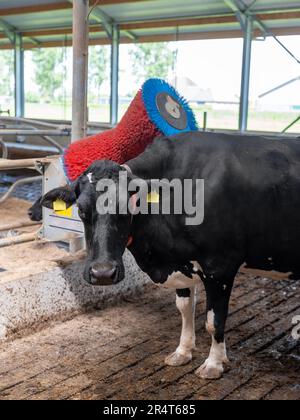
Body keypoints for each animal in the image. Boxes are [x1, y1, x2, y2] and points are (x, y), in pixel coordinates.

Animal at [41, 133, 300, 378]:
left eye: (127, 207)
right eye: (82, 210)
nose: (102, 273)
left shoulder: (220, 267)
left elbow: (213, 321)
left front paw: (214, 364)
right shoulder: (180, 261)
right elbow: (185, 308)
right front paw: (183, 351)